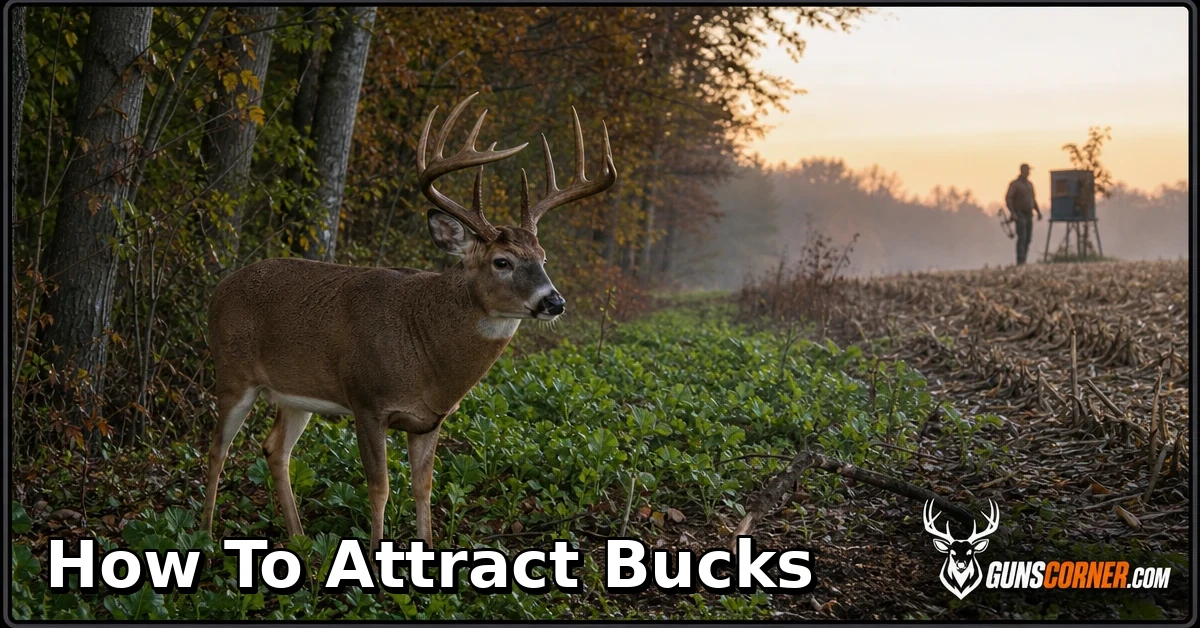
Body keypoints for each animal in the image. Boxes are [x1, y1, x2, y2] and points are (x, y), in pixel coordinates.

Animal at [200, 92, 617, 555]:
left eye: (542, 258)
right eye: (501, 262)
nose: (554, 301)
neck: (425, 354)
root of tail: (219, 288)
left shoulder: (430, 420)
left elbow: (424, 488)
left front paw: (428, 551)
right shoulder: (367, 401)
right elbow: (379, 487)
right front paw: (374, 561)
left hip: (296, 394)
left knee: (275, 449)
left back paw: (300, 538)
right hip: (233, 372)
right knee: (216, 450)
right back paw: (205, 535)